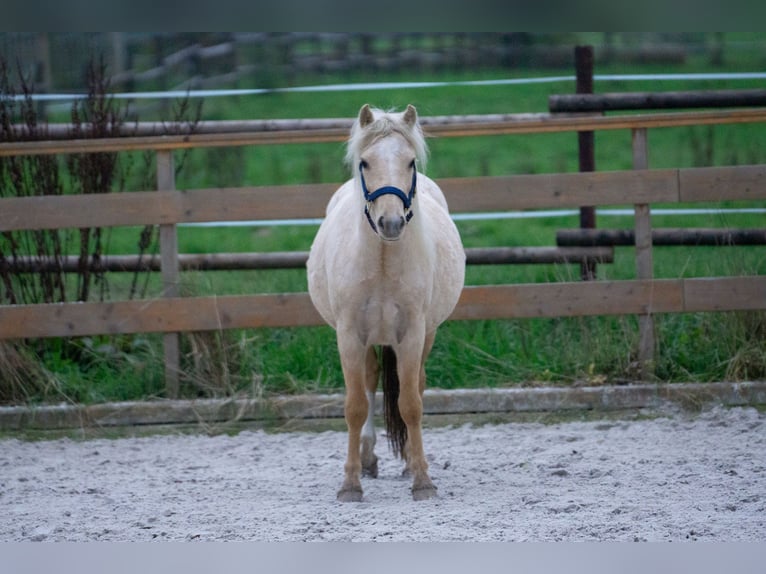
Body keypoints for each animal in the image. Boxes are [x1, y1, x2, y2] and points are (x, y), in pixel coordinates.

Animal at [308, 106, 464, 502]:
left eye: (410, 162)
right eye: (364, 162)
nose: (390, 222)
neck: (381, 261)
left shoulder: (412, 334)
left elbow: (410, 404)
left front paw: (422, 480)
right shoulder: (349, 336)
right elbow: (355, 406)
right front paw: (350, 485)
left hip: (426, 335)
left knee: (415, 386)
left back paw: (408, 460)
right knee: (369, 382)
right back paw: (367, 460)